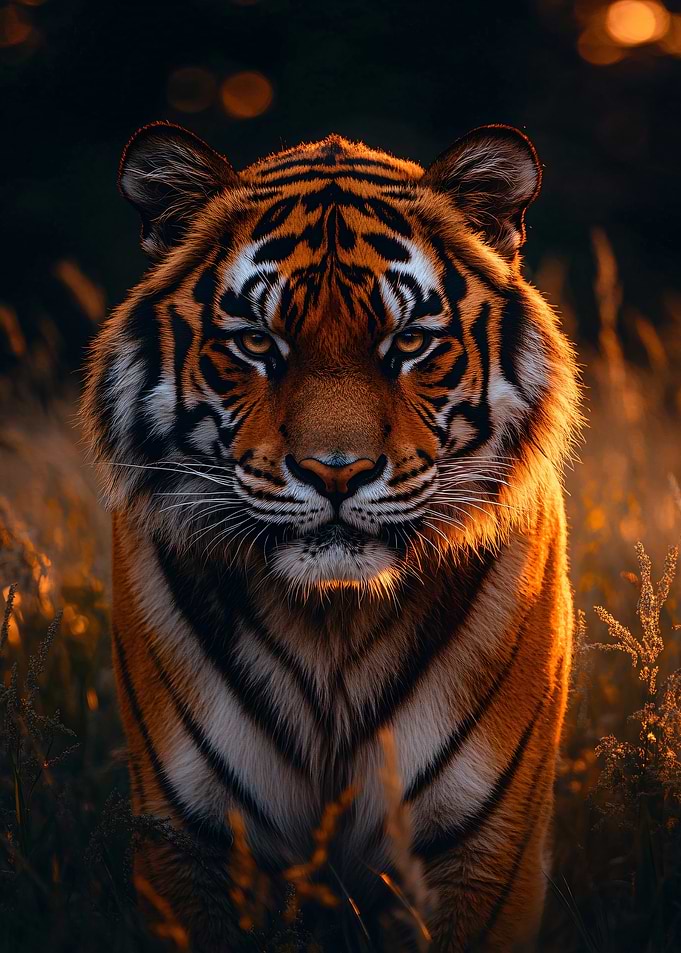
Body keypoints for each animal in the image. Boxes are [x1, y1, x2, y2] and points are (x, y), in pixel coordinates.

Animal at [81, 120, 581, 951]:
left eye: (408, 343)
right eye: (256, 343)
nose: (335, 472)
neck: (332, 624)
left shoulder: (486, 847)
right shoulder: (189, 837)